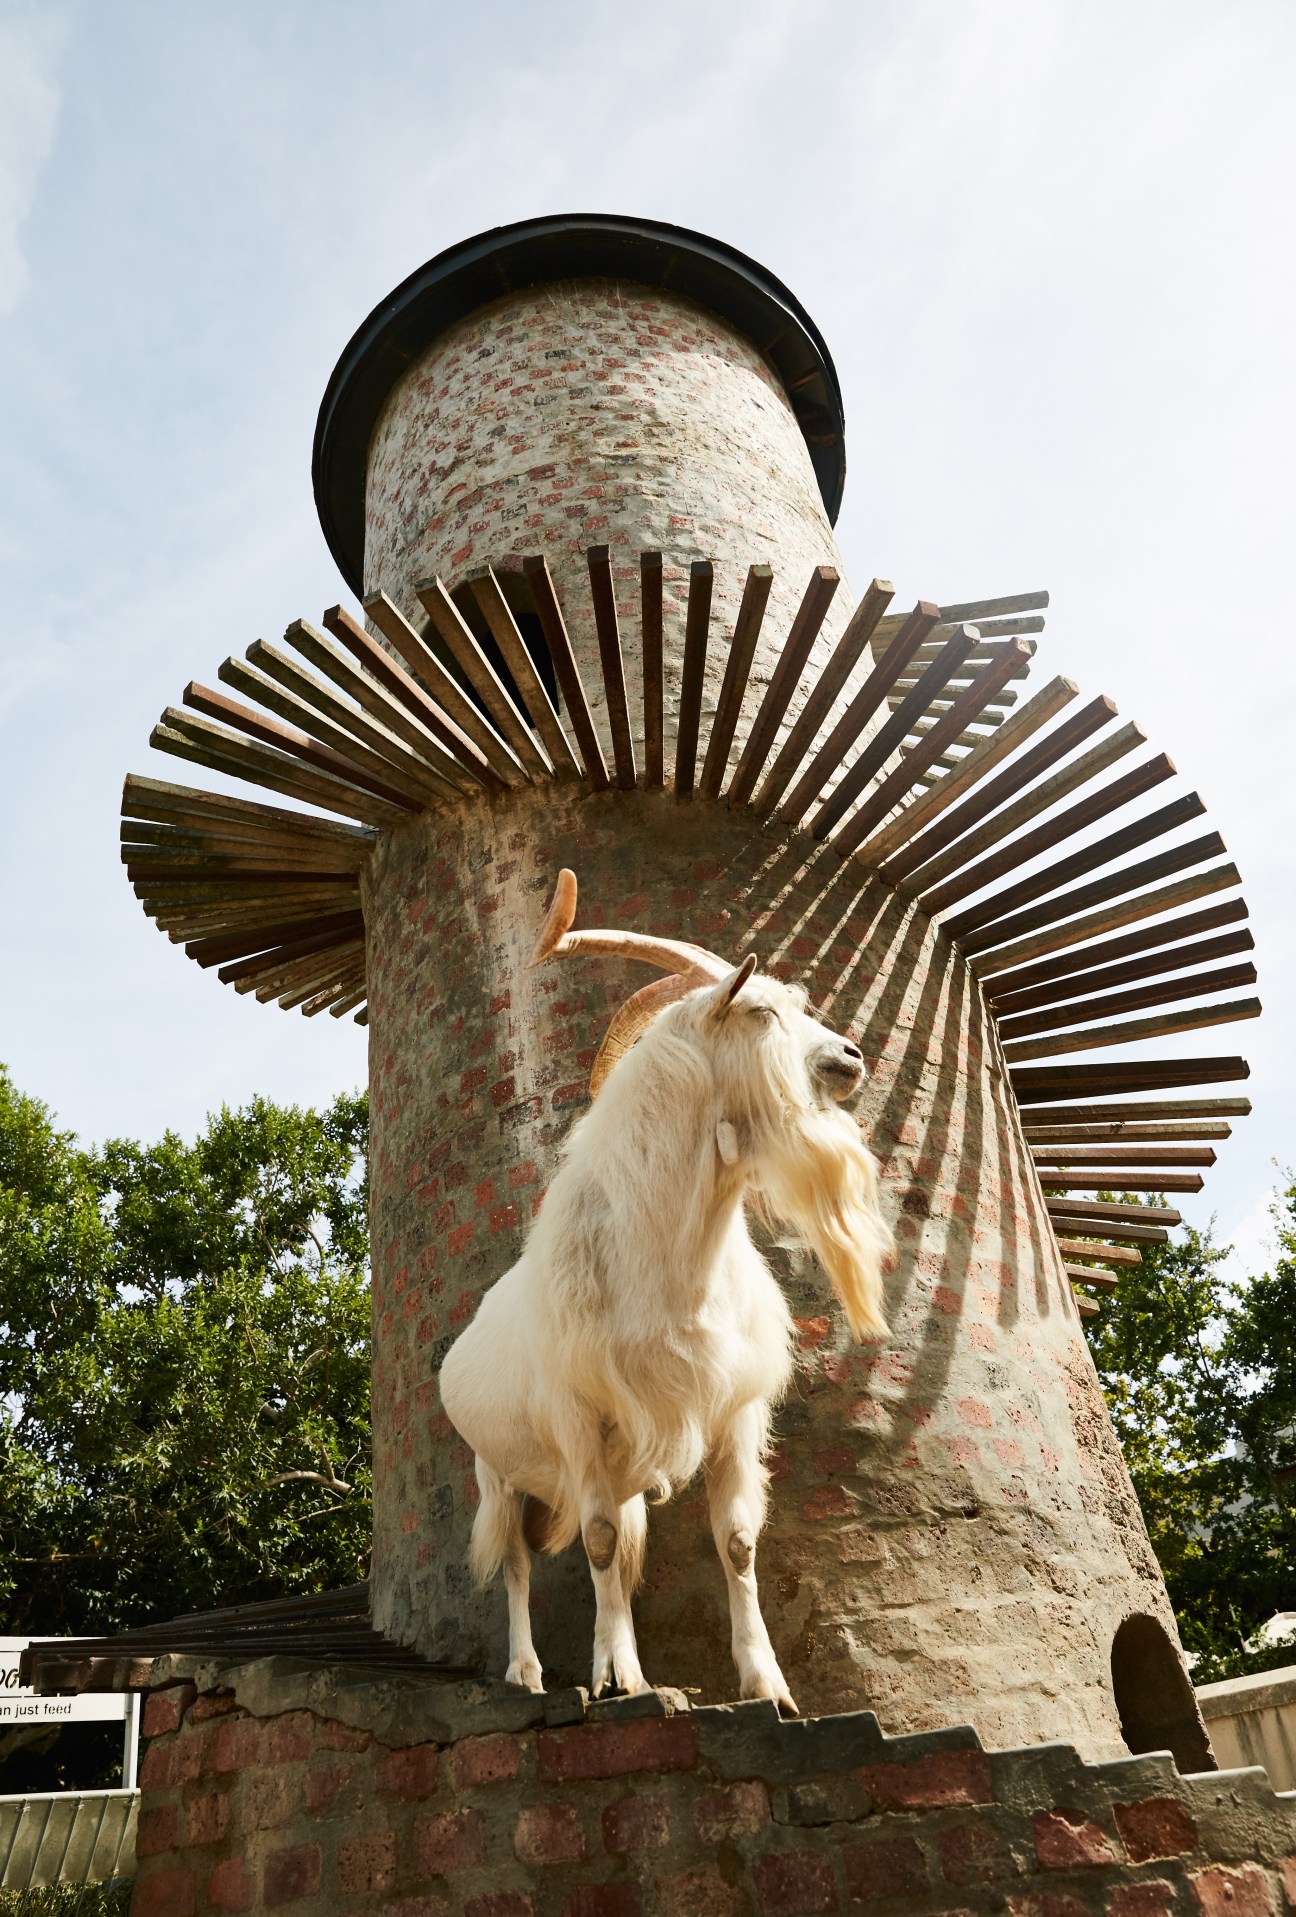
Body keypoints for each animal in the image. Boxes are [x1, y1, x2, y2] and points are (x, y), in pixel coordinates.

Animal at [438, 870, 893, 1713]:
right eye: (759, 1010)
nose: (850, 1056)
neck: (670, 1264)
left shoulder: (732, 1412)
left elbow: (736, 1543)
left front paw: (768, 1684)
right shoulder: (579, 1417)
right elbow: (595, 1543)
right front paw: (616, 1676)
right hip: (497, 1470)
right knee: (518, 1561)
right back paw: (528, 1670)